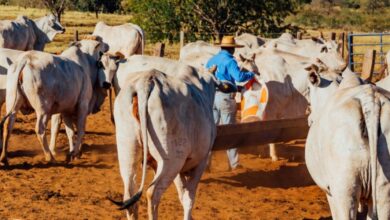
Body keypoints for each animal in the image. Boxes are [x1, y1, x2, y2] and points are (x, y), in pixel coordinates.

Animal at [304, 65, 390, 220]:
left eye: (308, 89)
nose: (309, 116)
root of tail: (370, 100)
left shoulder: (330, 192)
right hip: (383, 190)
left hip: (345, 190)